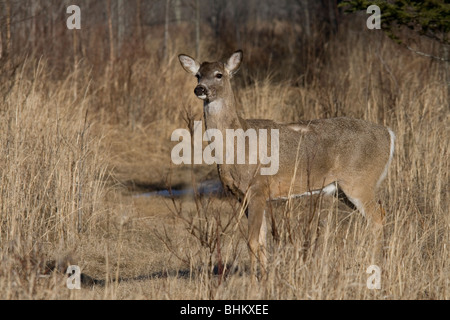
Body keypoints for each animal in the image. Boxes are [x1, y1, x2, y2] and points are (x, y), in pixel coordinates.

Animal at [178, 48, 396, 278]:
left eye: (219, 74)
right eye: (198, 75)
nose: (200, 89)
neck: (238, 145)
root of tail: (388, 134)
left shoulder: (258, 187)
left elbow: (252, 241)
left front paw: (253, 281)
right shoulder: (244, 195)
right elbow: (262, 239)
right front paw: (265, 276)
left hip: (360, 181)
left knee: (378, 217)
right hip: (342, 189)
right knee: (375, 217)